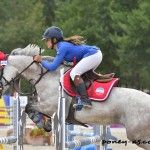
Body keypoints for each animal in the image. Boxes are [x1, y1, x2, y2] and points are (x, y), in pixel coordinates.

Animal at [1, 44, 150, 150]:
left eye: (1, 69)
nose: (1, 87)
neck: (47, 77)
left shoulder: (50, 106)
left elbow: (28, 106)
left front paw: (40, 123)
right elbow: (31, 109)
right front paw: (46, 124)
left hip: (137, 134)